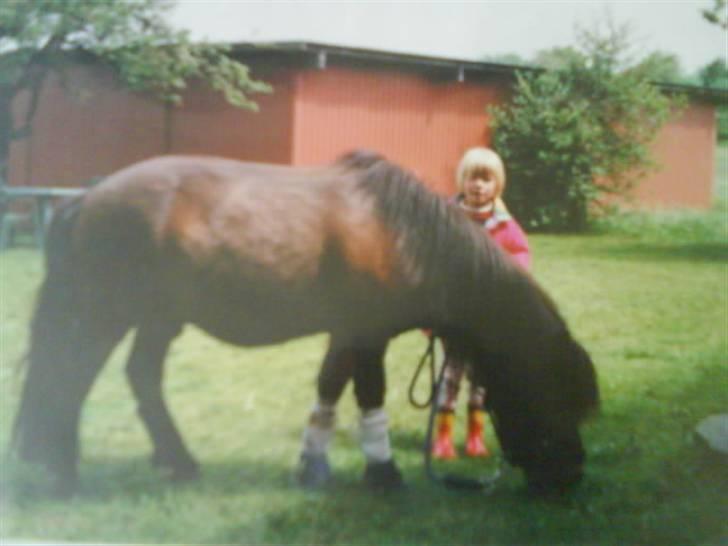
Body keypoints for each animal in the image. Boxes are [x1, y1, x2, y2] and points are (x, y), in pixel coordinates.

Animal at [8, 149, 596, 492]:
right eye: (554, 396)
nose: (571, 474)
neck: (405, 235)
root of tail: (85, 199)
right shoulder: (368, 335)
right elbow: (370, 396)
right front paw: (383, 473)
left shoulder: (346, 333)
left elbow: (329, 388)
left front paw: (312, 465)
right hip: (101, 314)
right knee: (70, 376)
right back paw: (61, 470)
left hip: (158, 319)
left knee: (139, 377)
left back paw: (177, 463)